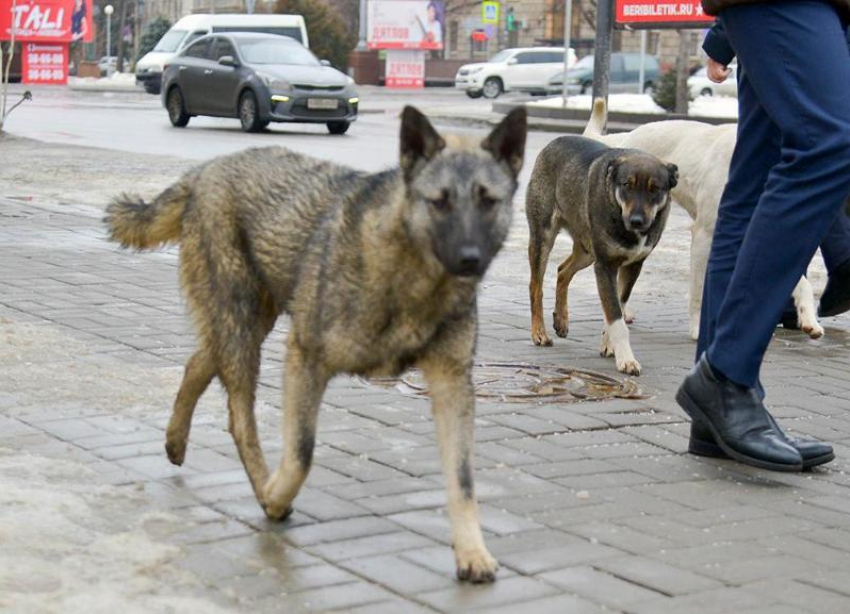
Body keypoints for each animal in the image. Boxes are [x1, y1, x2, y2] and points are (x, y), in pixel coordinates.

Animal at [524, 136, 676, 376]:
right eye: (627, 185)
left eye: (655, 189)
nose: (636, 221)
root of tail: (555, 141)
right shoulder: (605, 266)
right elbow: (615, 315)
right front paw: (627, 359)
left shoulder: (633, 266)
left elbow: (618, 307)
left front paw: (608, 344)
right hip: (544, 236)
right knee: (535, 286)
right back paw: (539, 333)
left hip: (587, 251)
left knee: (563, 271)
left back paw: (562, 321)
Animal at [580, 100, 820, 342]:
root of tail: (626, 138)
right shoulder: (704, 236)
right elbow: (698, 290)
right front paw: (697, 329)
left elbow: (800, 282)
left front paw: (809, 318)